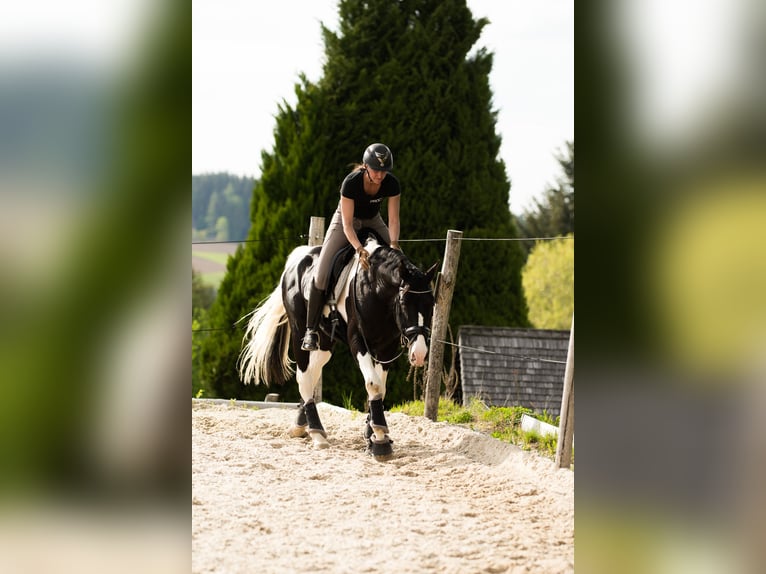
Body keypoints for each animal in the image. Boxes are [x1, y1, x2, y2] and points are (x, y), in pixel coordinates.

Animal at [238, 234, 438, 464]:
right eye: (404, 303)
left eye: (431, 303)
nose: (420, 353)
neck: (375, 290)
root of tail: (296, 259)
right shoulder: (358, 341)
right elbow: (373, 385)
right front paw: (380, 440)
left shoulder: (387, 347)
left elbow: (381, 388)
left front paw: (372, 435)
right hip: (300, 332)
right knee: (303, 377)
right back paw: (316, 433)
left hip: (325, 343)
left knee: (313, 373)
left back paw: (300, 425)